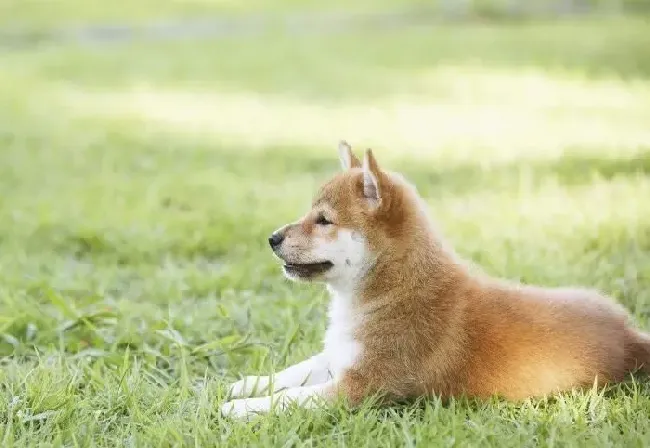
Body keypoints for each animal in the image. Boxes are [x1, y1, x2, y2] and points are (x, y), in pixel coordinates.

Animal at [219, 142, 648, 418]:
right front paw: (247, 384)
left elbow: (292, 398)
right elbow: (293, 373)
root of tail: (629, 337)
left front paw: (242, 407)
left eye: (324, 220)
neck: (391, 288)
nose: (272, 238)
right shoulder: (341, 355)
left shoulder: (364, 386)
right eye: (311, 214)